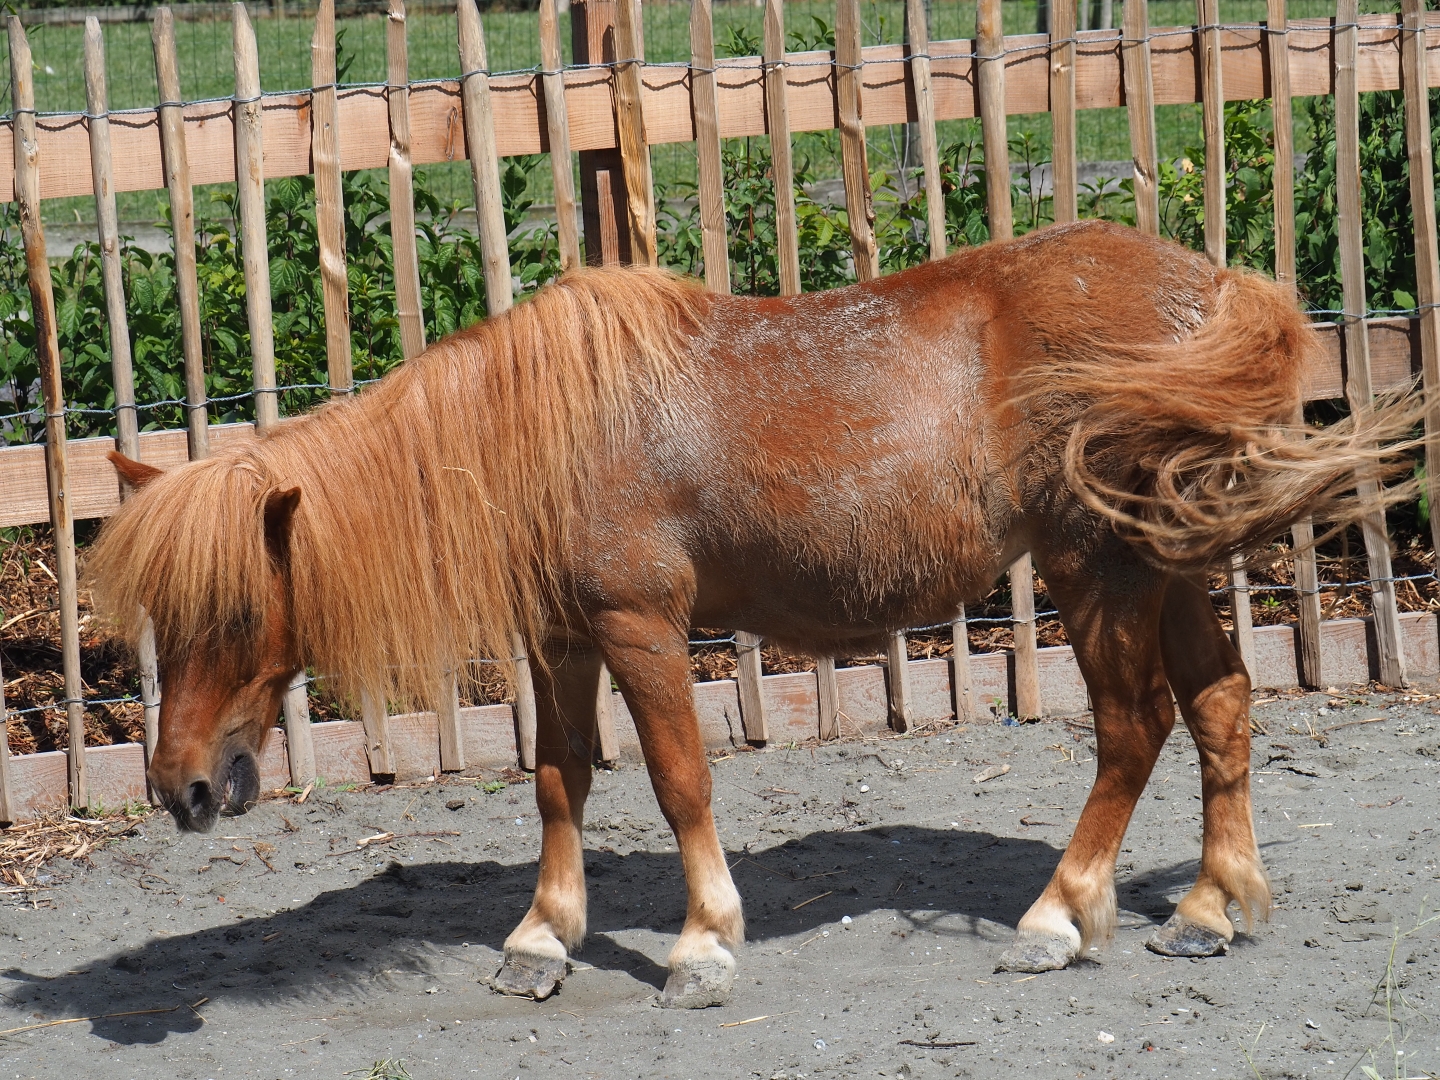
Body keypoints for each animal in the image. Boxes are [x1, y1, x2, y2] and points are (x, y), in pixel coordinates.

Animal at [87, 219, 1414, 1008]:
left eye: (231, 614)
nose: (180, 789)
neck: (543, 434)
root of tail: (1211, 288)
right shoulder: (562, 641)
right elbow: (560, 779)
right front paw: (543, 936)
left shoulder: (640, 628)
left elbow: (679, 779)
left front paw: (703, 942)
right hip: (1162, 562)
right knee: (1223, 707)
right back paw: (1208, 909)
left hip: (1100, 577)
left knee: (1135, 733)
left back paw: (1059, 916)